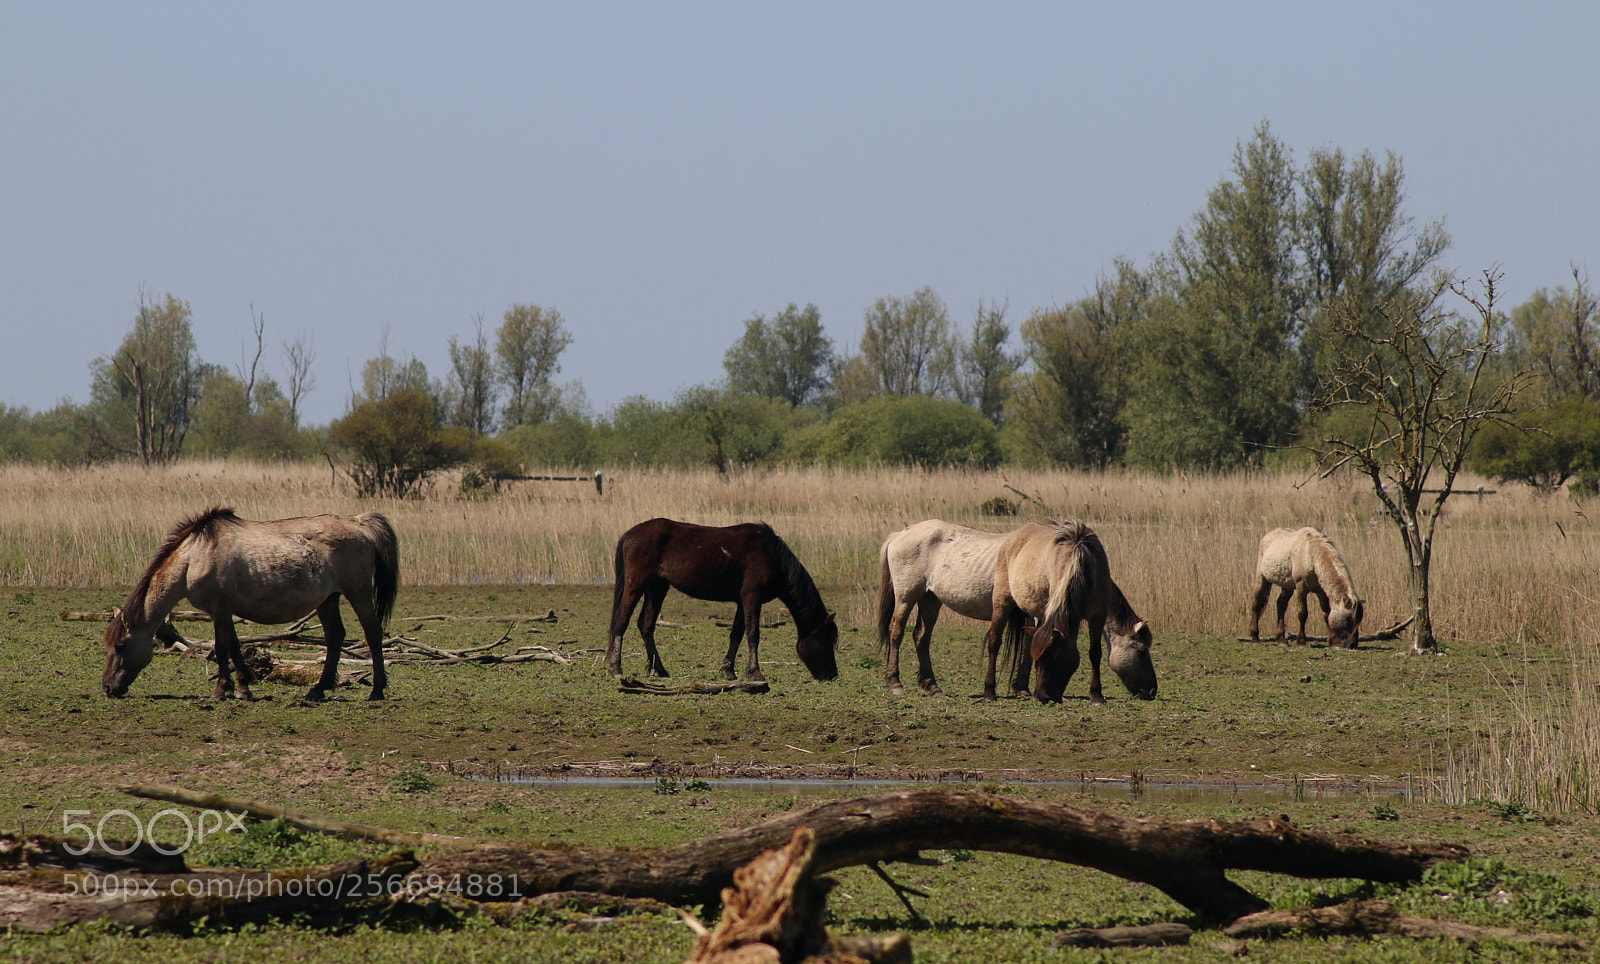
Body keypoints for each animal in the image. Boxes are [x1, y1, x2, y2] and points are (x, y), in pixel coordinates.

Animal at [102, 507, 400, 701]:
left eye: (121, 646)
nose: (107, 688)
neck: (195, 557)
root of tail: (358, 522)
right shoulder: (224, 612)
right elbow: (234, 646)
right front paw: (243, 687)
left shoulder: (219, 610)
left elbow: (222, 648)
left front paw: (223, 690)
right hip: (329, 599)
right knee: (335, 636)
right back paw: (317, 690)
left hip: (358, 593)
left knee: (372, 633)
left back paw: (376, 691)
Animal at [606, 518, 839, 682]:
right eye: (827, 639)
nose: (832, 674)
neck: (772, 556)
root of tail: (629, 534)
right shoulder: (752, 598)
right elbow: (753, 633)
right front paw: (755, 672)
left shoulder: (742, 601)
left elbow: (737, 633)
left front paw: (729, 670)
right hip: (636, 584)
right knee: (622, 621)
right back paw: (616, 668)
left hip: (657, 587)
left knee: (646, 624)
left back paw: (659, 669)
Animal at [875, 519, 1008, 696]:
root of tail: (899, 535)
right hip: (906, 598)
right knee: (896, 632)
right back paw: (895, 683)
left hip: (929, 600)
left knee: (922, 637)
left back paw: (932, 685)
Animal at [983, 520, 1157, 704]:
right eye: (1142, 651)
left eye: (1053, 658)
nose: (1043, 696)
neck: (1082, 565)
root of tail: (1014, 536)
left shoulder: (1098, 616)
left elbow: (1095, 652)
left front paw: (1097, 695)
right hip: (1002, 602)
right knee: (994, 642)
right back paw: (989, 691)